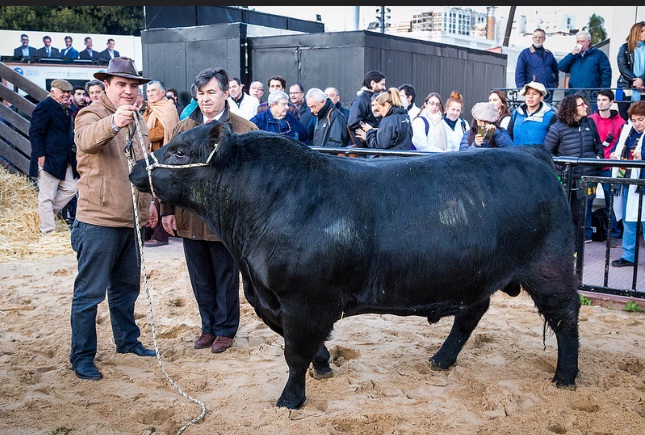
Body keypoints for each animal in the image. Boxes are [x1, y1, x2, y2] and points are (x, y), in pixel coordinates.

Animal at [127, 121, 580, 410]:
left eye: (179, 151)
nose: (134, 169)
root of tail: (533, 154)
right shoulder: (271, 298)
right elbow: (304, 346)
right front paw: (325, 364)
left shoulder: (304, 300)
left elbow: (294, 352)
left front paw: (290, 399)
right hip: (476, 275)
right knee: (472, 312)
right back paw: (441, 359)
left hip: (550, 267)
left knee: (565, 317)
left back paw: (566, 376)